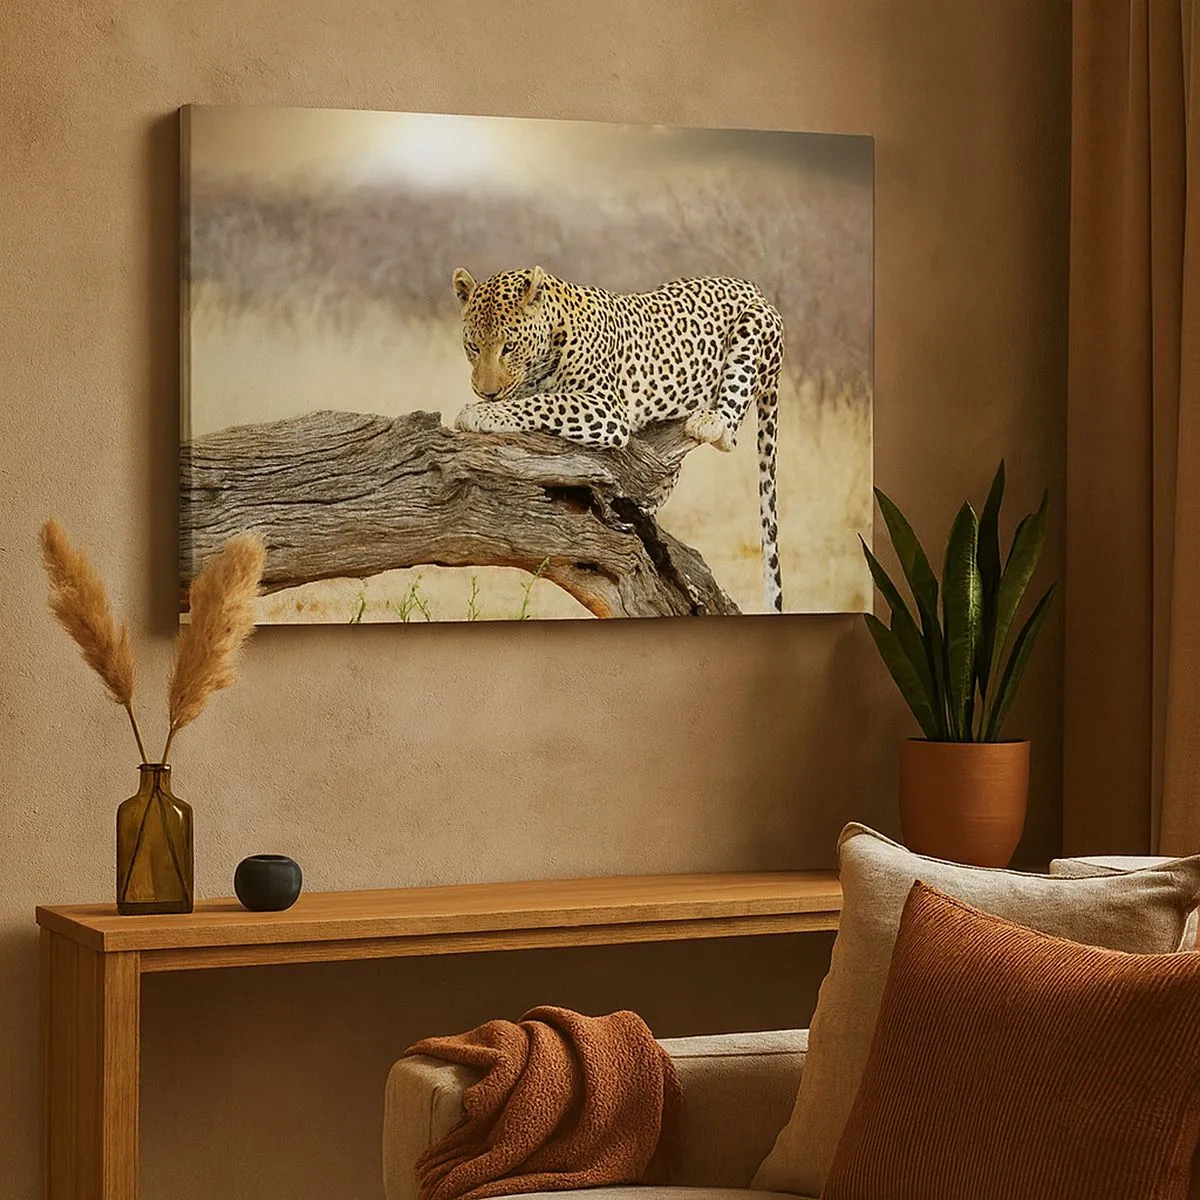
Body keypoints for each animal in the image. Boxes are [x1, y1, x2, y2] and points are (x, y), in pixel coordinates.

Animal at [451, 265, 786, 613]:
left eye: (509, 347)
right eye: (473, 347)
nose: (487, 392)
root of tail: (752, 287)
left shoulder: (606, 408)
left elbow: (544, 402)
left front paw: (480, 413)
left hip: (754, 326)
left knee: (730, 428)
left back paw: (710, 421)